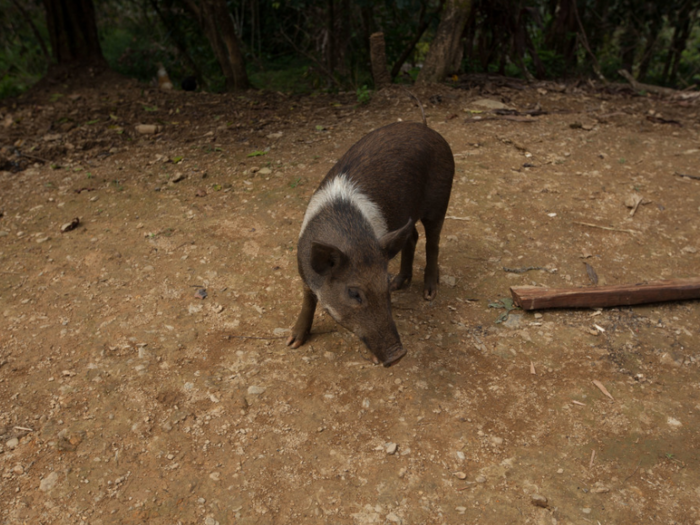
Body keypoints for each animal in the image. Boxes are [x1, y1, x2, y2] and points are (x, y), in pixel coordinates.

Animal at [284, 119, 454, 366]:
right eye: (354, 293)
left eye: (384, 286)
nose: (398, 355)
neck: (352, 238)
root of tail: (427, 128)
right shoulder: (303, 269)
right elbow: (307, 300)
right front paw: (292, 343)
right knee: (412, 237)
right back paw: (400, 283)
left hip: (441, 198)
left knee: (433, 241)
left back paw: (429, 293)